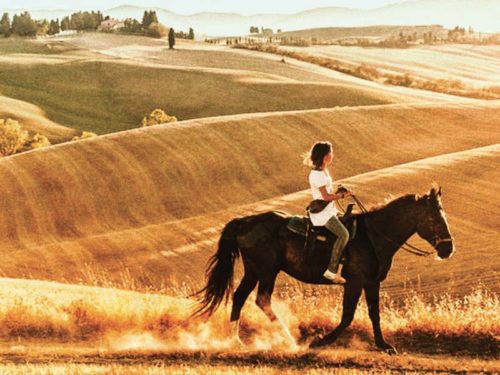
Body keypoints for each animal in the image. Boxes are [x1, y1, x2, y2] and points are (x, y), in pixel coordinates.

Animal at [193, 187, 456, 354]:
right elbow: (348, 316)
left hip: (254, 270)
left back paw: (235, 340)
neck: (373, 236)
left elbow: (374, 314)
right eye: (435, 219)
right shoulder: (355, 282)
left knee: (239, 297)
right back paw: (289, 340)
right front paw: (321, 341)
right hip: (268, 270)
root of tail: (245, 222)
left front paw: (384, 345)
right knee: (262, 300)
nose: (448, 249)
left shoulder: (372, 282)